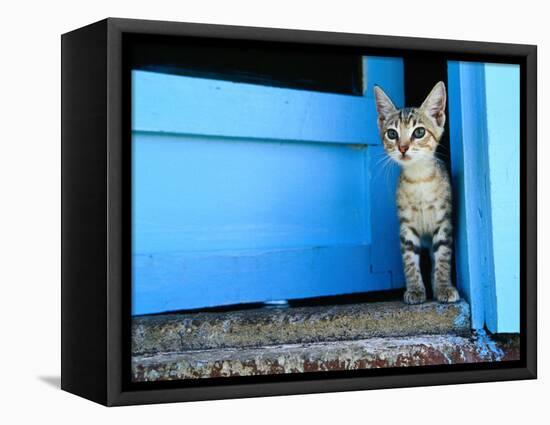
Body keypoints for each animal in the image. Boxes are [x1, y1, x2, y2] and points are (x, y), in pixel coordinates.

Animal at [376, 81, 462, 304]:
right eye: (392, 134)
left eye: (419, 132)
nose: (403, 147)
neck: (419, 179)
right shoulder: (406, 226)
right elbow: (409, 259)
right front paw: (415, 289)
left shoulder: (444, 222)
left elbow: (442, 257)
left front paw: (443, 287)